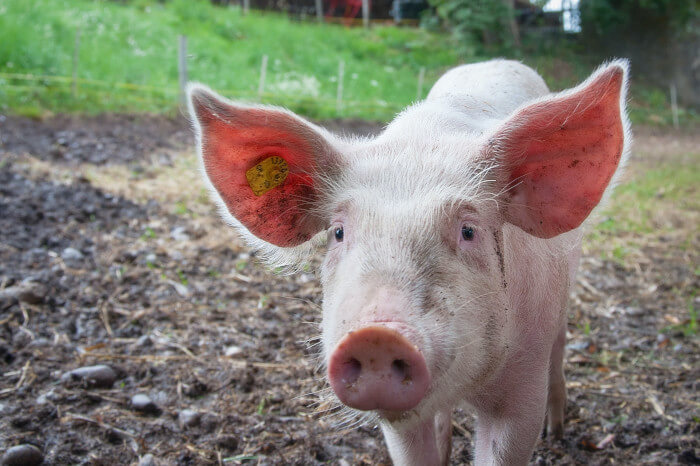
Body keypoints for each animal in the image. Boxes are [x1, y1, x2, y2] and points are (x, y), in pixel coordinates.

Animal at [187, 58, 630, 465]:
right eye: (338, 232)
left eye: (469, 231)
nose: (376, 337)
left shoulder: (523, 388)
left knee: (560, 346)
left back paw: (558, 431)